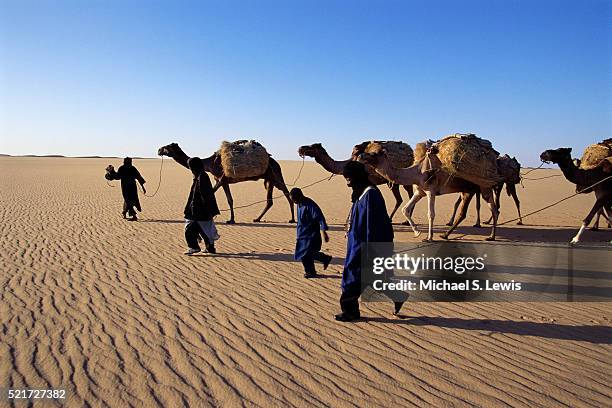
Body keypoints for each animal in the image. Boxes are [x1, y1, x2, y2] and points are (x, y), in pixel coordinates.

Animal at [157, 143, 292, 223]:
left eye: (167, 147)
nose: (158, 150)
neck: (208, 164)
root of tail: (275, 162)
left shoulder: (221, 179)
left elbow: (214, 194)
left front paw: (229, 219)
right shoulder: (223, 181)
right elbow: (230, 199)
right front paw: (231, 219)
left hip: (275, 175)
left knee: (287, 193)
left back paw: (291, 219)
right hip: (271, 179)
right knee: (271, 200)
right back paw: (257, 218)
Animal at [360, 147, 500, 241]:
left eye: (374, 153)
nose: (361, 155)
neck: (416, 172)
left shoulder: (430, 191)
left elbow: (430, 214)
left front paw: (429, 237)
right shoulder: (419, 192)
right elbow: (405, 209)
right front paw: (417, 232)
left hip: (484, 187)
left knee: (494, 210)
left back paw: (491, 237)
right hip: (469, 189)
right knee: (473, 212)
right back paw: (446, 235)